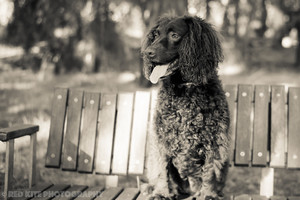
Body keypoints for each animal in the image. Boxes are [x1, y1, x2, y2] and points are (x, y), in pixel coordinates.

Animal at [141, 14, 230, 200]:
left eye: (174, 35)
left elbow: (210, 172)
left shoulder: (214, 141)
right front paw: (162, 193)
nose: (147, 52)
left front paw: (208, 195)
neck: (185, 89)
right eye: (155, 35)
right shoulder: (162, 139)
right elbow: (163, 171)